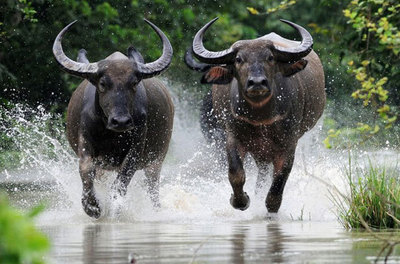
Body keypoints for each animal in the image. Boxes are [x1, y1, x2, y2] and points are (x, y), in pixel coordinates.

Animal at [52, 20, 173, 219]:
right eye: (102, 84)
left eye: (134, 83)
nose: (121, 121)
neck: (110, 134)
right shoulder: (86, 143)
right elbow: (86, 169)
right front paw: (92, 207)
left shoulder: (136, 149)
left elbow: (121, 181)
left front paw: (114, 209)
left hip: (157, 159)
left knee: (153, 187)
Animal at [186, 18, 326, 212]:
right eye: (238, 59)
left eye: (270, 58)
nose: (257, 83)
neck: (260, 116)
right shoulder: (232, 136)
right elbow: (236, 173)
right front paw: (240, 200)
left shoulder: (289, 141)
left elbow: (280, 178)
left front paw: (271, 206)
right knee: (261, 174)